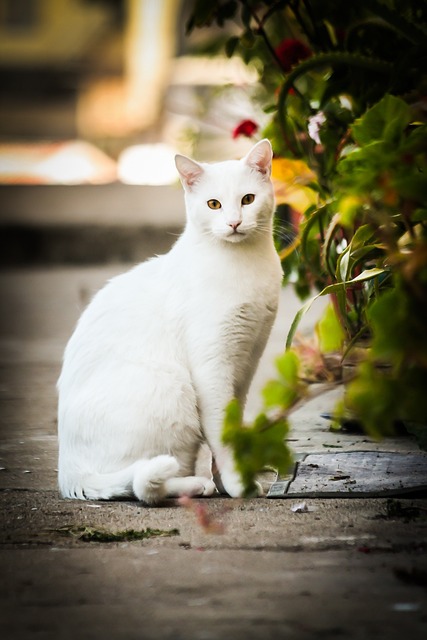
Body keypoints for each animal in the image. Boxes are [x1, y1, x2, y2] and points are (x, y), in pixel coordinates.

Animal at [56, 140, 284, 504]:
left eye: (248, 199)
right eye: (214, 204)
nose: (234, 223)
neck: (244, 264)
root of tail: (69, 473)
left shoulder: (246, 361)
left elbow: (233, 423)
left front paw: (227, 481)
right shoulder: (212, 367)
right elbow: (222, 432)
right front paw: (237, 484)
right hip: (173, 389)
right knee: (142, 485)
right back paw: (195, 485)